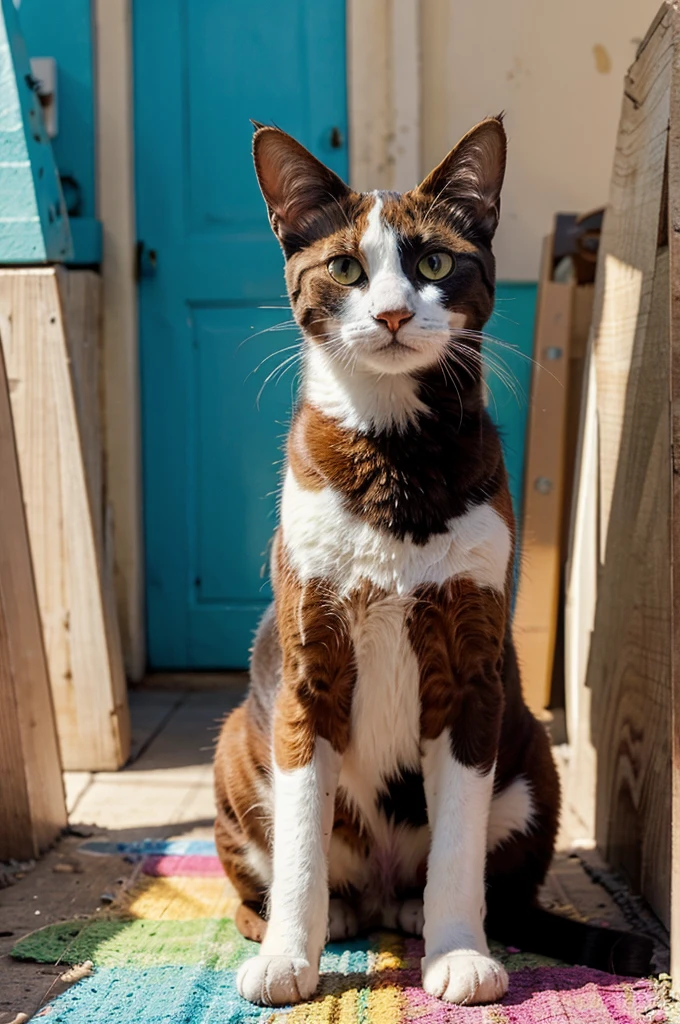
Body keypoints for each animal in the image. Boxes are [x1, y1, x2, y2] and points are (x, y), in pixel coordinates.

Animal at [214, 117, 655, 1007]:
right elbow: (301, 838)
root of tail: (382, 887)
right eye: (345, 267)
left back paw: (420, 914)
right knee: (275, 862)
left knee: (496, 878)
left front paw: (460, 953)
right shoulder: (308, 666)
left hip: (533, 759)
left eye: (436, 264)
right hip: (235, 744)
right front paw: (287, 957)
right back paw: (317, 918)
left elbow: (458, 840)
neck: (395, 457)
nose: (389, 313)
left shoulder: (473, 666)